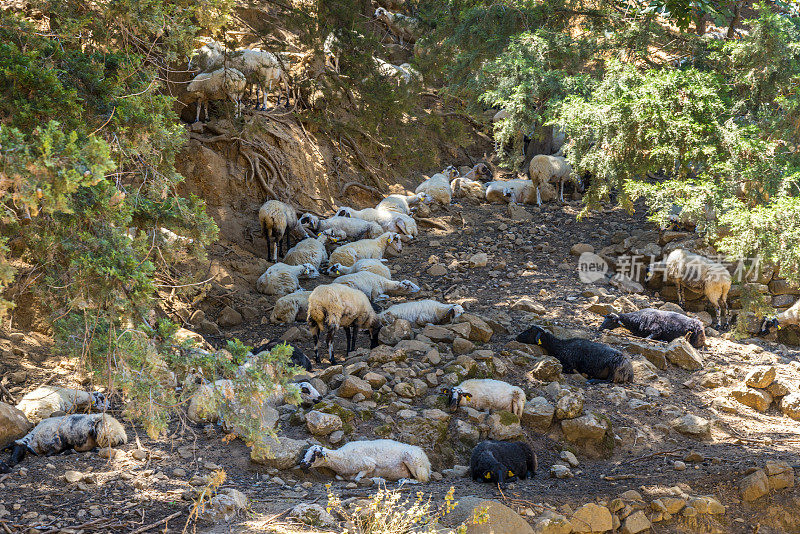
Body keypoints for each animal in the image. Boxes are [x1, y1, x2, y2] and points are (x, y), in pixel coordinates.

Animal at [298, 440, 432, 486]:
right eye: (305, 452)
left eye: (316, 454)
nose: (302, 464)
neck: (341, 457)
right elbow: (339, 477)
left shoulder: (369, 465)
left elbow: (358, 479)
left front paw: (379, 479)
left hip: (414, 461)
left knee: (423, 480)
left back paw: (404, 481)